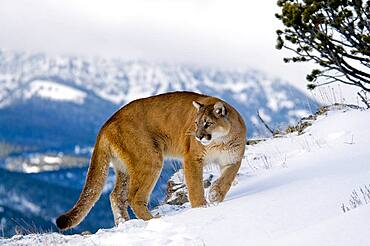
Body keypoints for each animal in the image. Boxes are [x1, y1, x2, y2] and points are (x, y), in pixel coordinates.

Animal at [56, 91, 246, 230]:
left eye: (207, 123)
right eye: (196, 123)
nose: (198, 136)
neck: (220, 142)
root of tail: (107, 122)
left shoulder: (233, 159)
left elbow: (227, 179)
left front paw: (215, 195)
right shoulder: (193, 159)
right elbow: (195, 186)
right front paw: (200, 209)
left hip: (125, 168)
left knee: (116, 196)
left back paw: (124, 222)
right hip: (150, 159)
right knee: (133, 197)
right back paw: (152, 220)